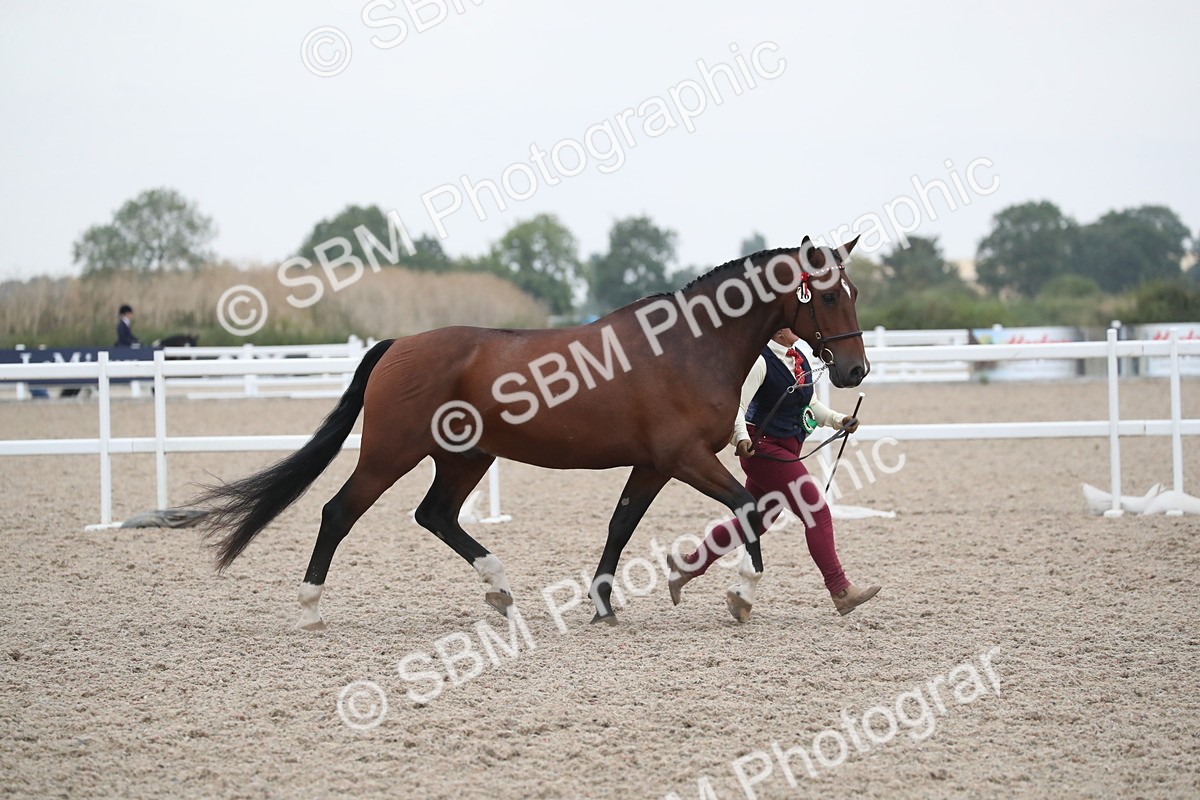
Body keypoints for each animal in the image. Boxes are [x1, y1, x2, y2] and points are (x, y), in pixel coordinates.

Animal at [195, 236, 869, 629]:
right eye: (828, 295)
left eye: (854, 290)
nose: (855, 370)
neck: (687, 346)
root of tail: (397, 345)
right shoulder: (686, 458)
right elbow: (749, 505)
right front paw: (743, 594)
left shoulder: (654, 464)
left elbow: (621, 524)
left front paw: (603, 606)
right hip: (391, 453)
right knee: (339, 512)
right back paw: (310, 611)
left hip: (465, 458)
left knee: (435, 515)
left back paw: (499, 589)